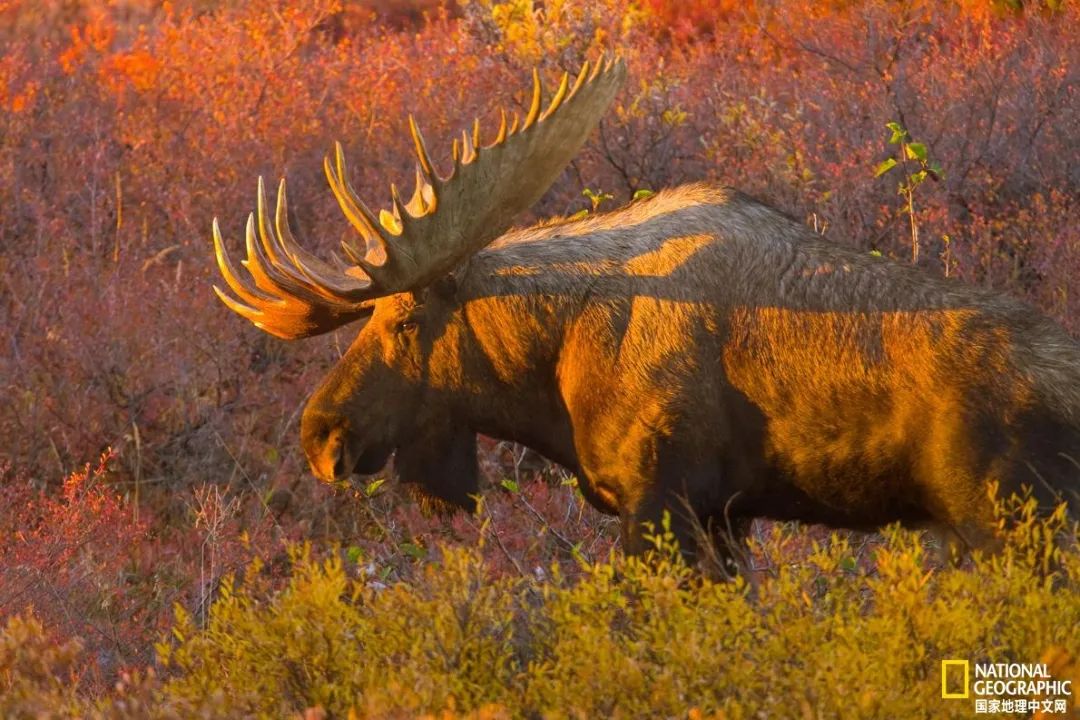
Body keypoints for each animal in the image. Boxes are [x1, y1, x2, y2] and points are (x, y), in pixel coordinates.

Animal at [212, 56, 1080, 561]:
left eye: (400, 320)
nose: (320, 437)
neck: (552, 374)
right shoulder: (728, 514)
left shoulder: (662, 501)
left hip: (1012, 521)